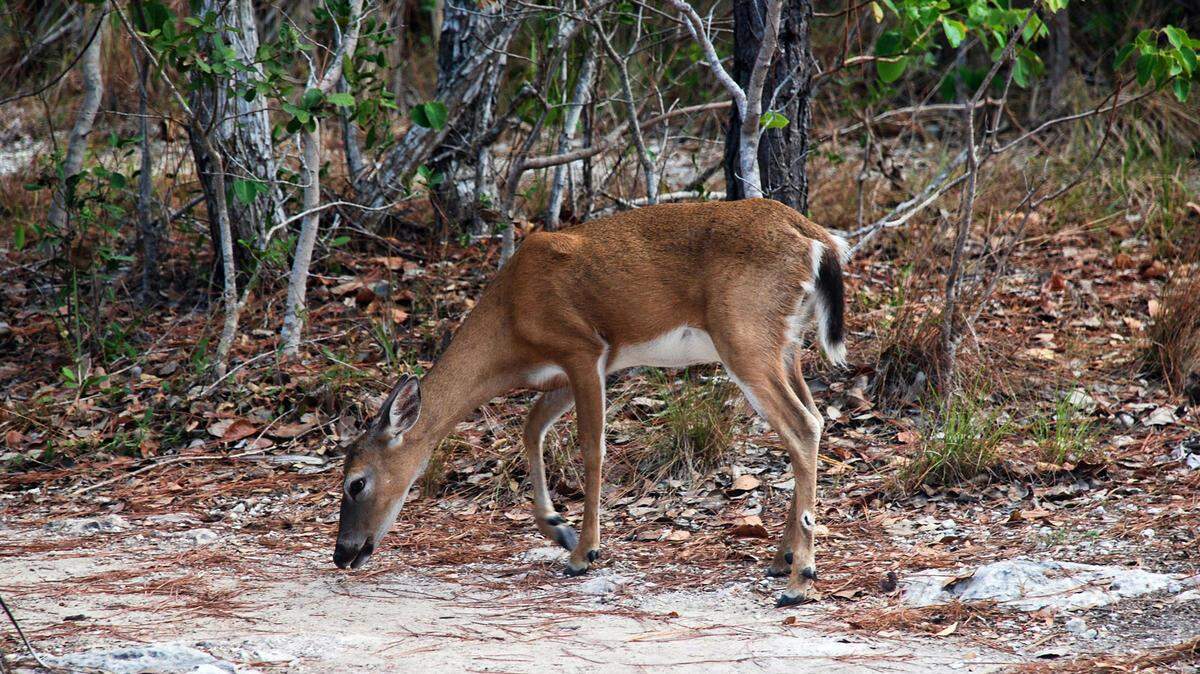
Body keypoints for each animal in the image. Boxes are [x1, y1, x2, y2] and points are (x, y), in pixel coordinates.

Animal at [332, 198, 847, 607]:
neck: (510, 327)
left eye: (356, 483)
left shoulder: (584, 350)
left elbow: (591, 447)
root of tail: (818, 239)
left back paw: (800, 580)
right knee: (813, 419)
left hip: (743, 333)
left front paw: (583, 553)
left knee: (801, 425)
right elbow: (531, 428)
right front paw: (557, 527)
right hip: (785, 344)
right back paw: (782, 559)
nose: (341, 554)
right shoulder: (563, 372)